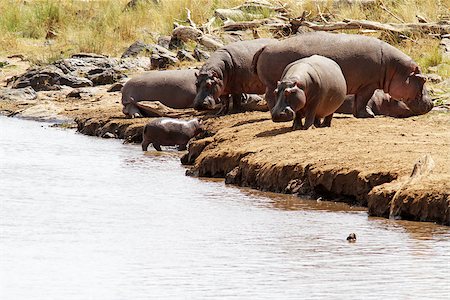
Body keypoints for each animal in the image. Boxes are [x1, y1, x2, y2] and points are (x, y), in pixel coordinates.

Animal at [253, 31, 432, 118]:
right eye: (423, 79)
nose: (431, 103)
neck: (394, 67)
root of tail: (266, 46)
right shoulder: (369, 84)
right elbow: (363, 99)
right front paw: (368, 115)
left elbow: (359, 101)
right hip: (273, 82)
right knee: (271, 96)